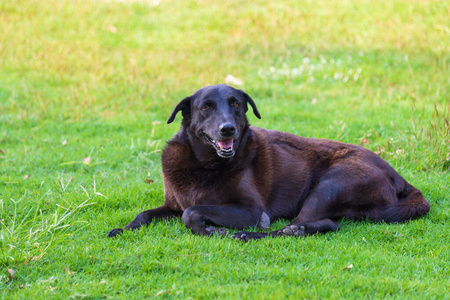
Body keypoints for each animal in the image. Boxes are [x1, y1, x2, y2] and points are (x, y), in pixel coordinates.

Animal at [107, 84, 430, 241]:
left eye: (236, 104)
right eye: (206, 107)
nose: (228, 129)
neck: (204, 165)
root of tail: (399, 178)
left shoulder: (250, 210)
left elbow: (192, 213)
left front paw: (212, 230)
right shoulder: (171, 205)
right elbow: (145, 214)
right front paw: (122, 229)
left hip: (331, 184)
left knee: (314, 223)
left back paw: (256, 234)